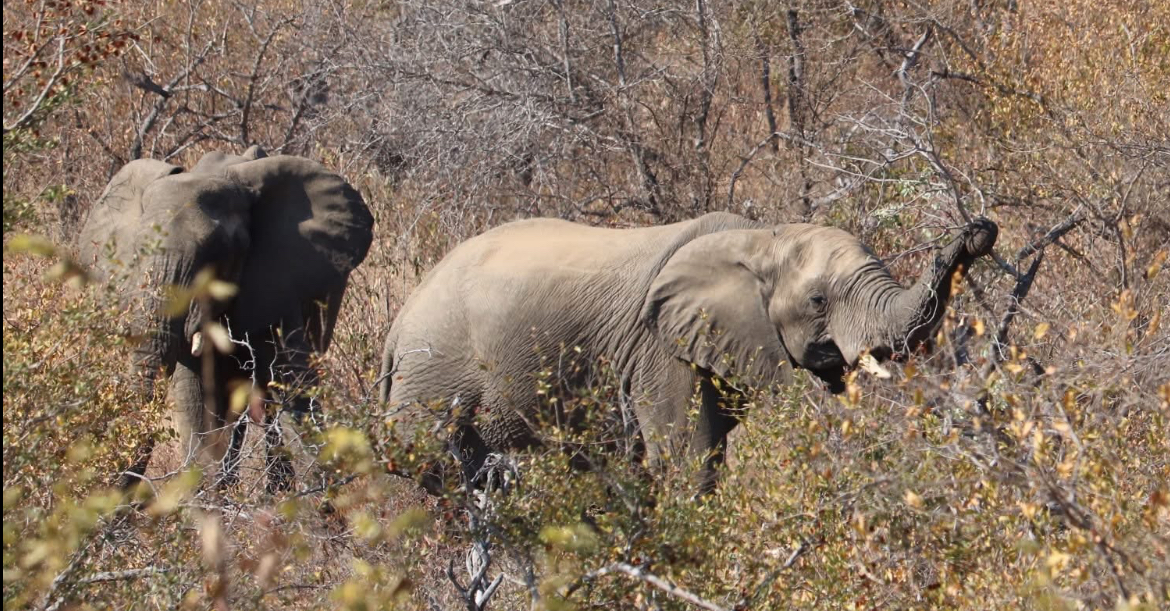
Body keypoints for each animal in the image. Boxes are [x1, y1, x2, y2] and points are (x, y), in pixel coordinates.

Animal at [379, 211, 997, 494]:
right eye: (818, 301)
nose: (981, 228)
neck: (760, 239)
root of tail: (397, 324)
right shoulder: (661, 352)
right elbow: (686, 460)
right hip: (434, 374)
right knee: (433, 468)